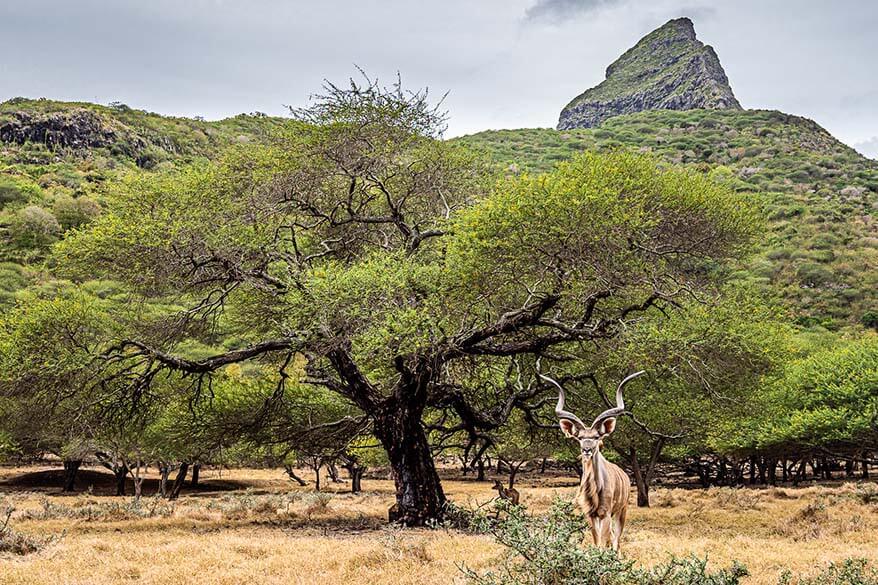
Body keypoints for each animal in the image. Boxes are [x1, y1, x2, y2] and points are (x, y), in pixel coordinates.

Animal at [536, 368, 648, 548]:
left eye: (596, 437)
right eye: (580, 437)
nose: (587, 449)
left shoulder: (605, 513)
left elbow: (604, 544)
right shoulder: (590, 514)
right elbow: (597, 542)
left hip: (622, 511)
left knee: (616, 540)